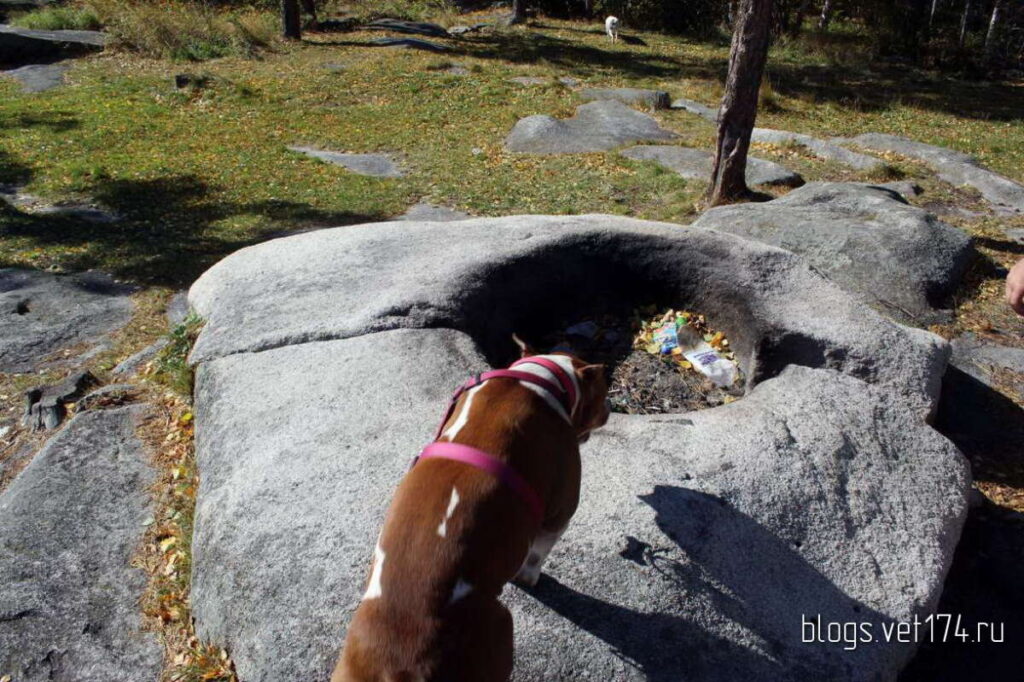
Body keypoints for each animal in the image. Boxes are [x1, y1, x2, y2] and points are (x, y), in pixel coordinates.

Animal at [333, 337, 606, 679]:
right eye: (605, 393)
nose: (610, 410)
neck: (539, 377)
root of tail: (401, 666)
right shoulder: (560, 510)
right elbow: (536, 554)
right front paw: (529, 577)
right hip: (496, 632)